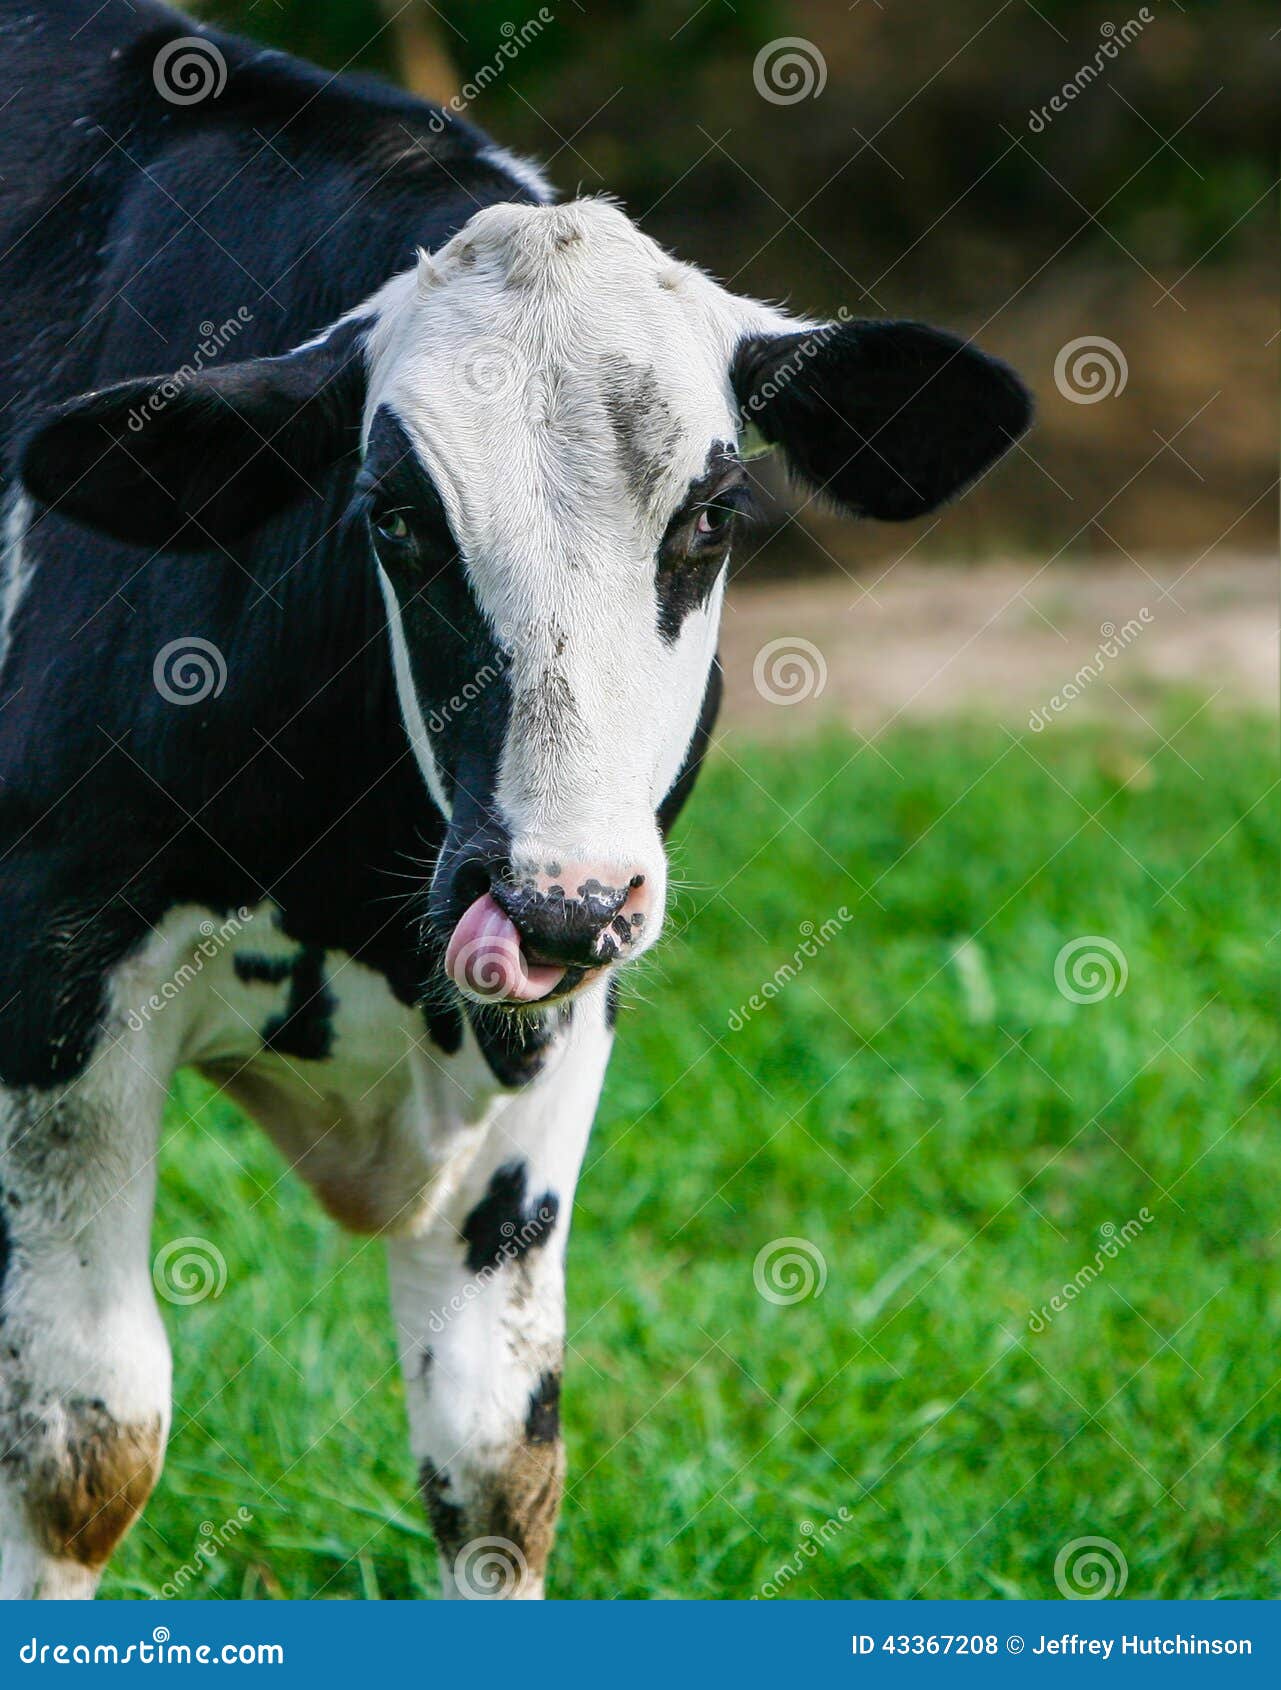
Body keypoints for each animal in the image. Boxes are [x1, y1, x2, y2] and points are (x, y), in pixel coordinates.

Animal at [0, 0, 1030, 1599]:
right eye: (396, 517)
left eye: (713, 517)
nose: (552, 895)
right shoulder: (57, 978)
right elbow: (83, 1445)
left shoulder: (553, 1032)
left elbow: (497, 1459)